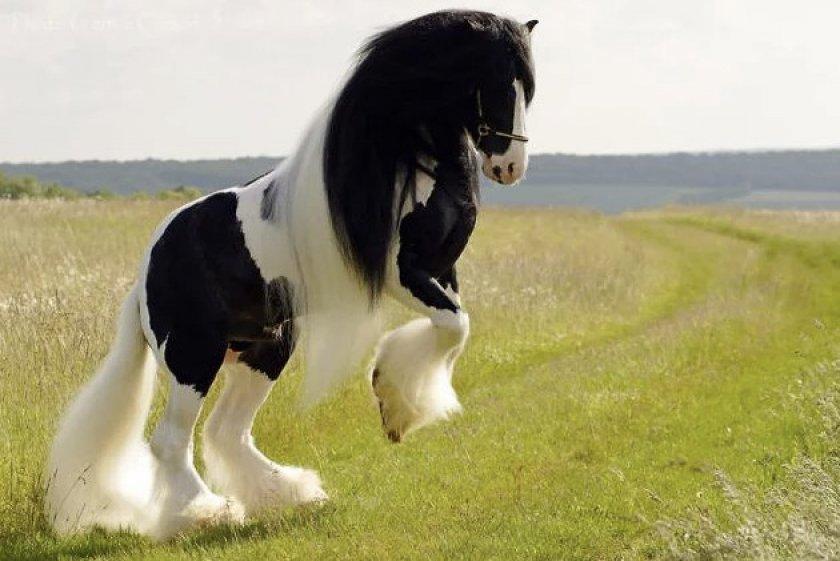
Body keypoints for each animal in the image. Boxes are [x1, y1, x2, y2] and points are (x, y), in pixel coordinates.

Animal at [45, 10, 537, 539]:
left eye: (527, 86)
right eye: (496, 81)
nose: (510, 166)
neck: (412, 164)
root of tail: (144, 278)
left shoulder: (443, 272)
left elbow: (454, 329)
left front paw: (399, 410)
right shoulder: (403, 273)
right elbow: (453, 326)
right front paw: (393, 405)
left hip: (265, 348)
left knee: (227, 431)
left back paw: (288, 494)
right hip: (193, 355)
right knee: (172, 440)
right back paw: (204, 512)